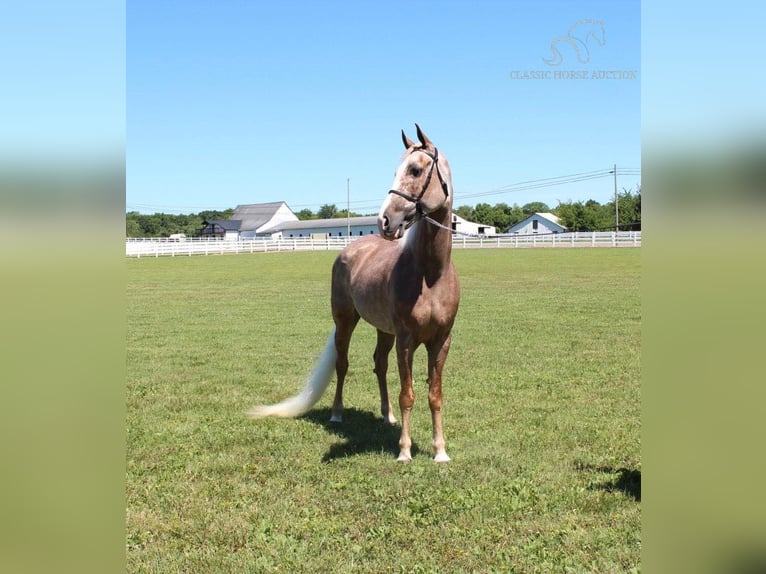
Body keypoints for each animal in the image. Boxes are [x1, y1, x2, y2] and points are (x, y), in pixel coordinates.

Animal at [249, 126, 460, 464]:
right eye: (396, 170)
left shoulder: (441, 341)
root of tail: (350, 250)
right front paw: (404, 451)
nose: (385, 221)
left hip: (384, 330)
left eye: (415, 170)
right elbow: (408, 394)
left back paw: (387, 416)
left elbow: (434, 396)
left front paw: (440, 451)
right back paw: (337, 414)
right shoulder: (406, 340)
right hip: (346, 321)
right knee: (343, 364)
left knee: (379, 364)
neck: (430, 276)